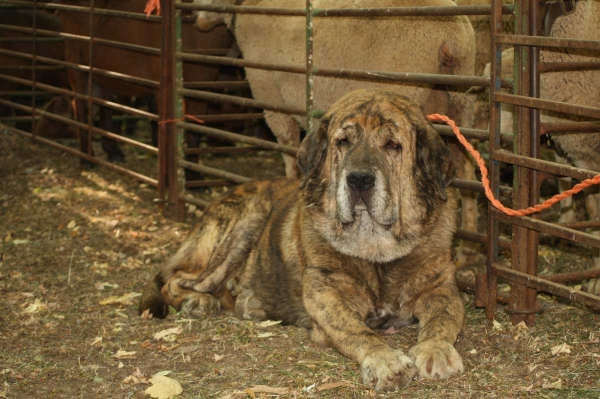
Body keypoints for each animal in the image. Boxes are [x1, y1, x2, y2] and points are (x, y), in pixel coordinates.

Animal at [139, 90, 464, 390]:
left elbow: (444, 319)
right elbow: (357, 331)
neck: (375, 249)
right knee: (174, 280)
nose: (359, 179)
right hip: (247, 219)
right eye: (342, 142)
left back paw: (249, 302)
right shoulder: (326, 295)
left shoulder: (441, 289)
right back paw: (198, 300)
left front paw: (435, 349)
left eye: (393, 146)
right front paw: (385, 360)